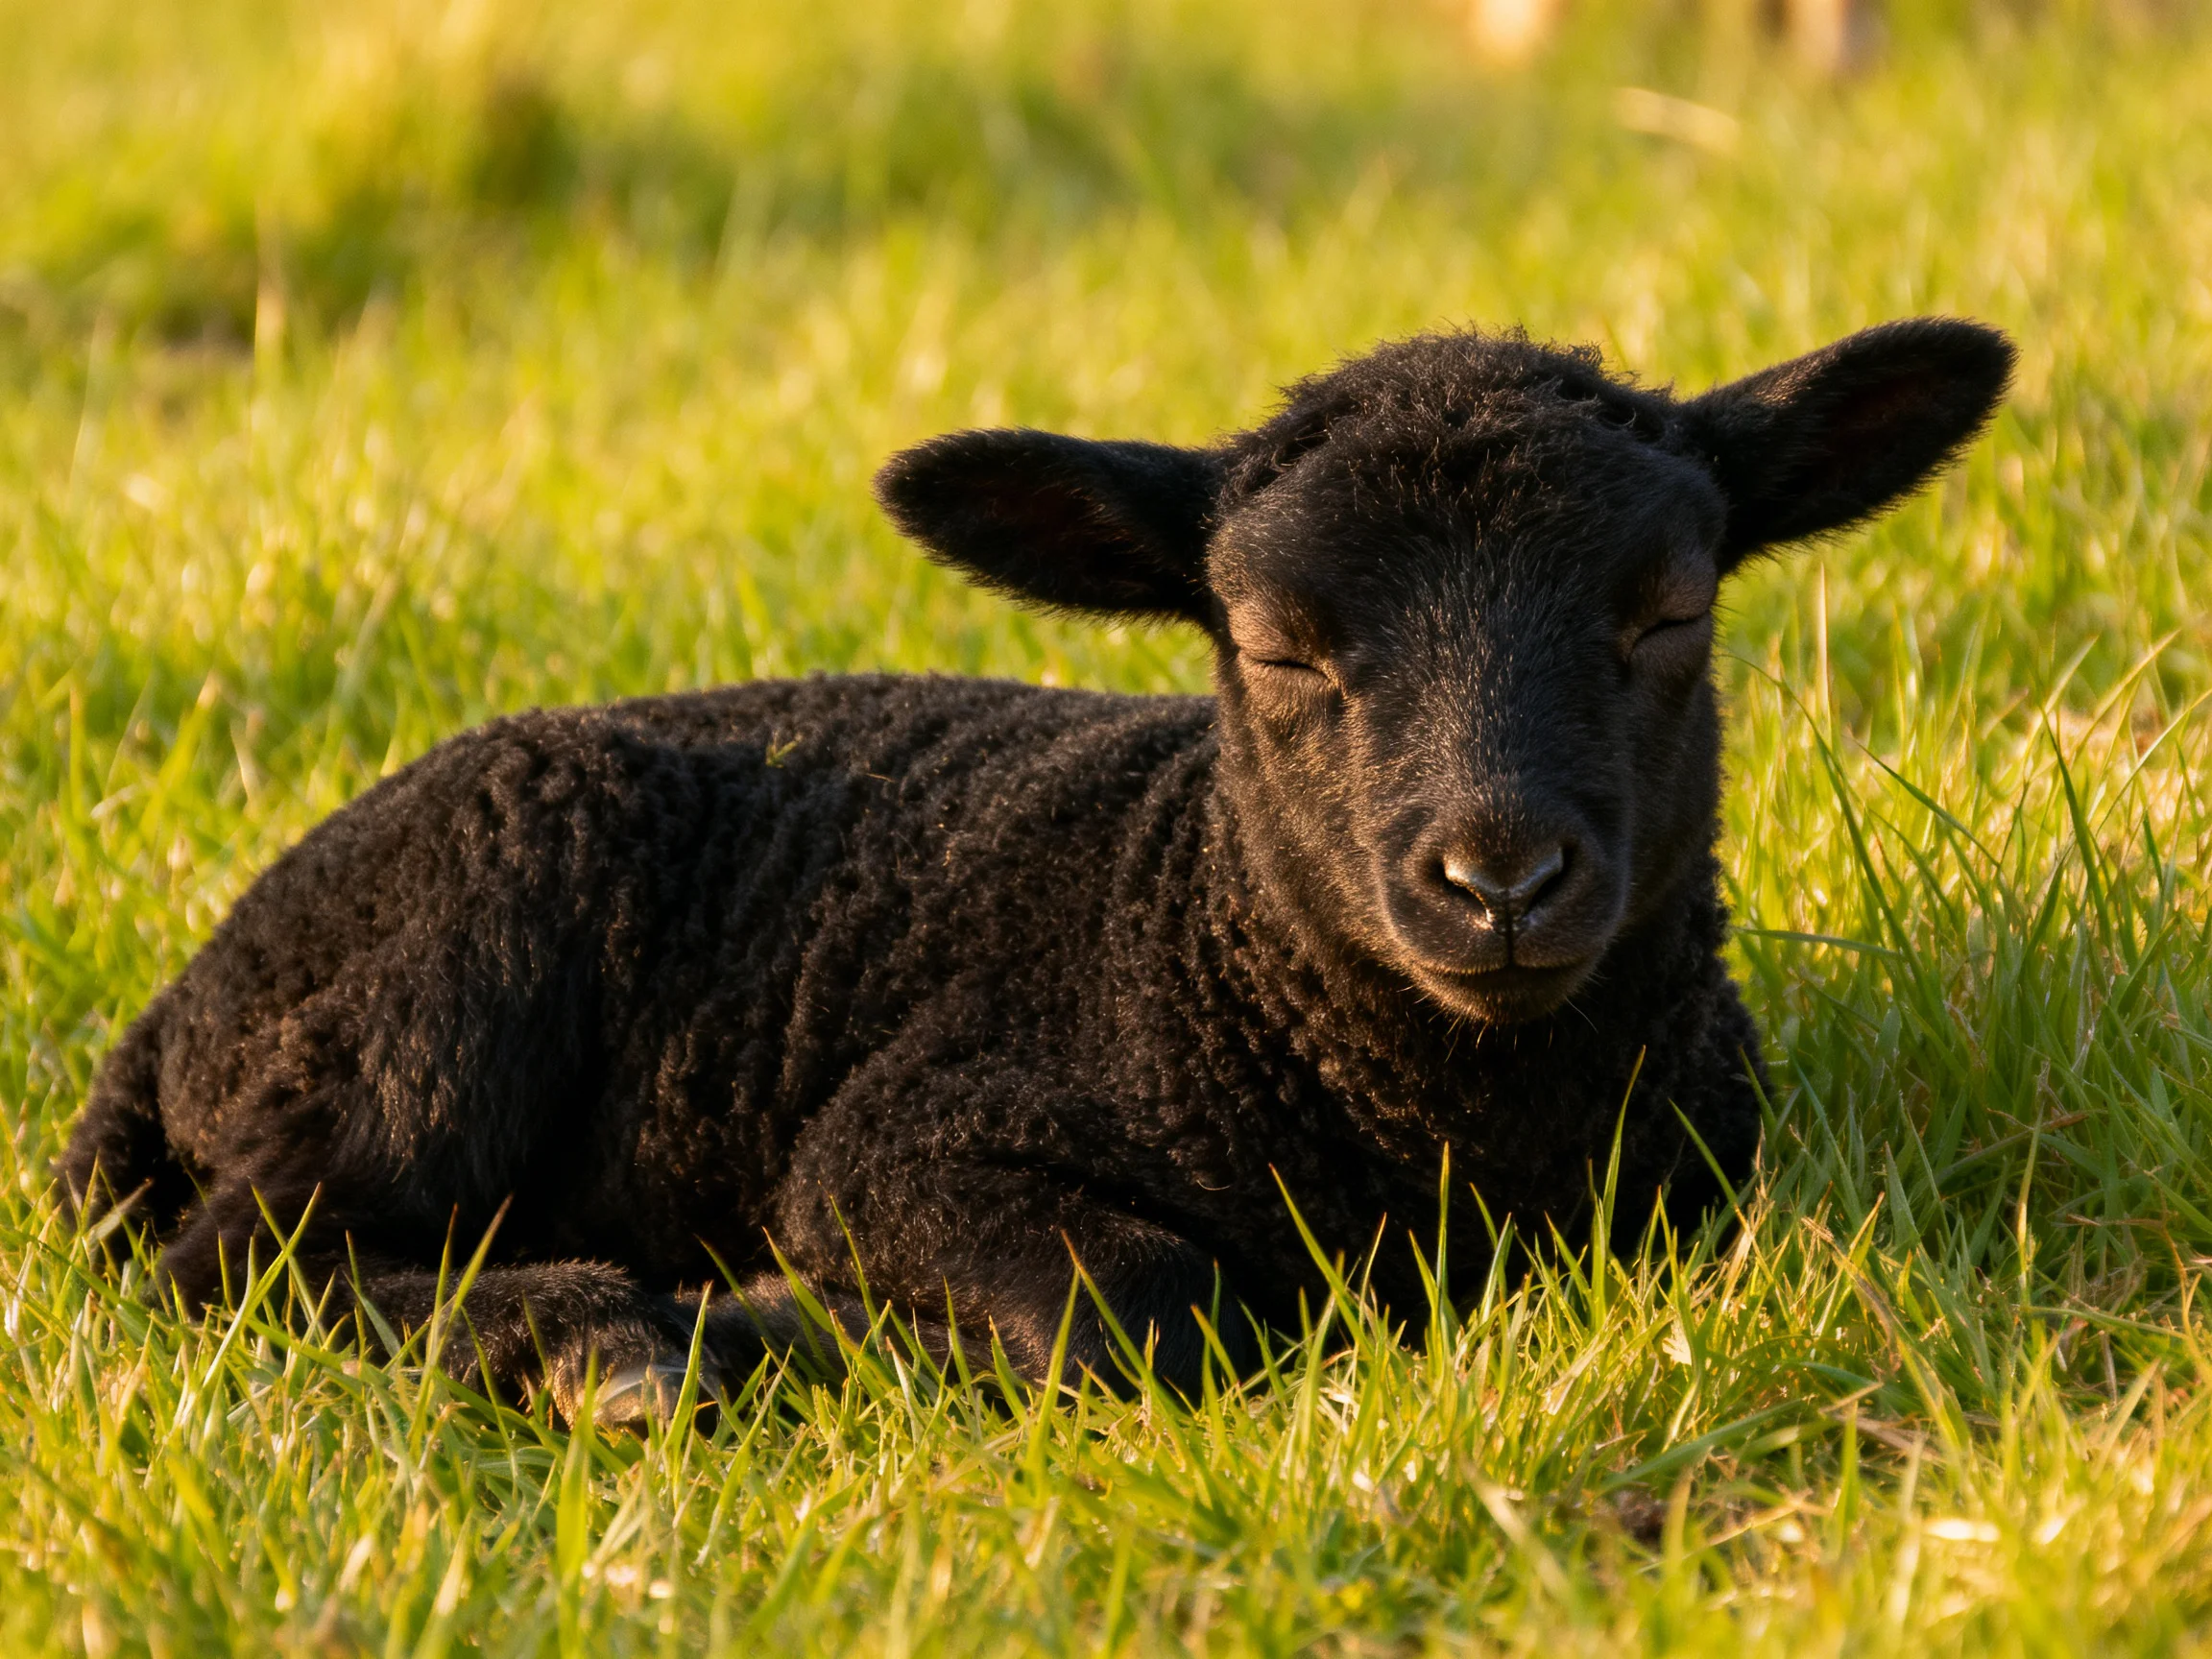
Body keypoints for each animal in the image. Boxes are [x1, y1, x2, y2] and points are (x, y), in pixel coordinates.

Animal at [63, 319, 2013, 1420]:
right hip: (451, 959)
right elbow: (1153, 1317)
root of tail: (186, 999)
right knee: (244, 1266)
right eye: (1273, 644)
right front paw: (800, 1325)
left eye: (1669, 611)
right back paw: (600, 1343)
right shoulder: (899, 1139)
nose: (1498, 879)